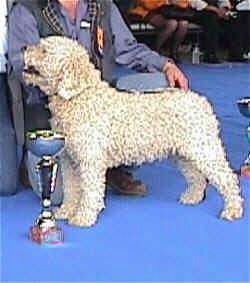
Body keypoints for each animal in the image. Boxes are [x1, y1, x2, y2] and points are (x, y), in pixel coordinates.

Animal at [23, 36, 244, 229]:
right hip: (183, 153)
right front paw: (66, 211)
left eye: (44, 50)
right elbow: (71, 190)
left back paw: (233, 210)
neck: (78, 97)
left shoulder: (90, 161)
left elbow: (90, 192)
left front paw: (84, 218)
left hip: (204, 149)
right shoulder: (69, 160)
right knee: (197, 177)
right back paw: (193, 198)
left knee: (228, 178)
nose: (24, 48)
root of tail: (201, 101)